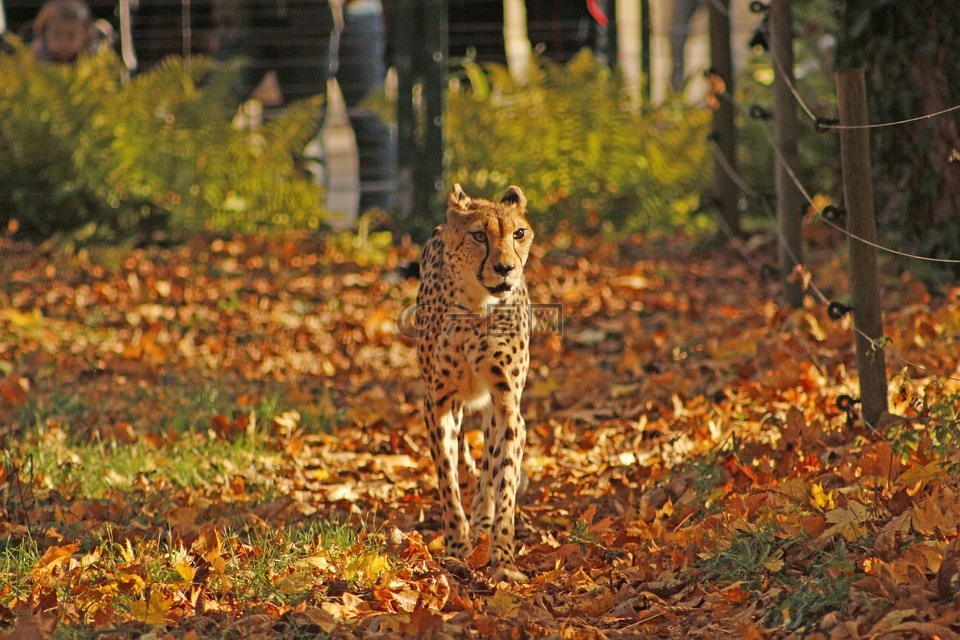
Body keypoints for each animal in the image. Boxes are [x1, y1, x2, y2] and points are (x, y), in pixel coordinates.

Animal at [416, 182, 536, 584]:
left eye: (518, 233)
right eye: (479, 235)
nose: (505, 269)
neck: (476, 306)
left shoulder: (507, 404)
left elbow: (505, 480)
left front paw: (503, 557)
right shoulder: (437, 402)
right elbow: (446, 478)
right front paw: (455, 550)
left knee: (490, 462)